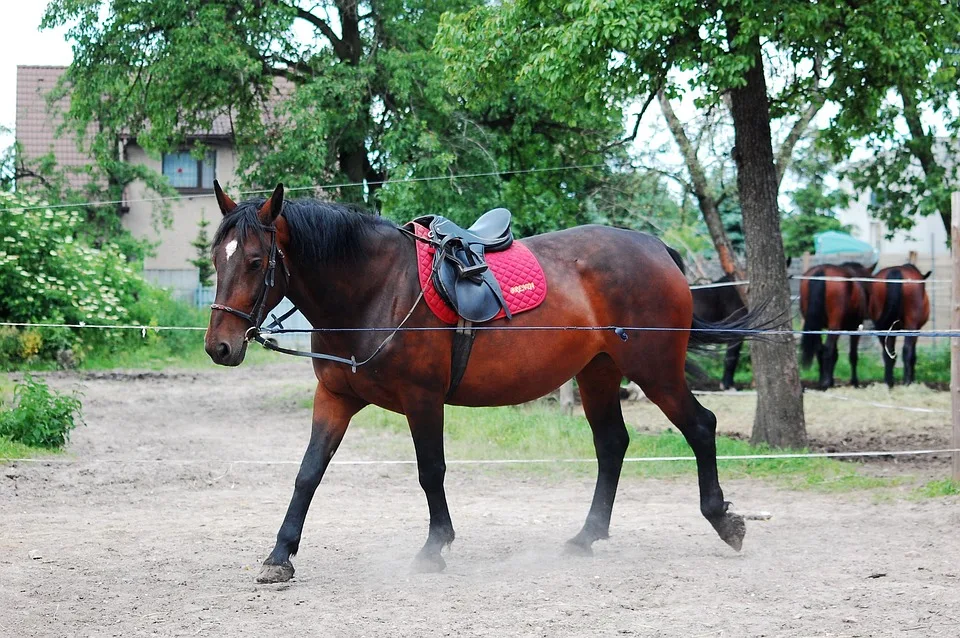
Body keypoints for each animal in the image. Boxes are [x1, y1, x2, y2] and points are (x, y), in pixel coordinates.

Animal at [208, 184, 764, 584]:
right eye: (217, 259)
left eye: (255, 262)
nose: (220, 347)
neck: (375, 289)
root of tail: (656, 248)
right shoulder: (336, 398)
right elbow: (308, 473)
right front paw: (280, 554)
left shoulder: (423, 400)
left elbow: (430, 472)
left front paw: (435, 547)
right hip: (599, 372)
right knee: (612, 445)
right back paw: (586, 537)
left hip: (655, 370)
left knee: (700, 426)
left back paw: (723, 521)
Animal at [800, 262, 872, 390]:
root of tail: (821, 271)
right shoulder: (854, 328)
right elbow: (852, 355)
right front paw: (854, 382)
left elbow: (835, 354)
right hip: (835, 325)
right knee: (827, 349)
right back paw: (825, 382)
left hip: (816, 326)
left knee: (820, 349)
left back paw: (822, 380)